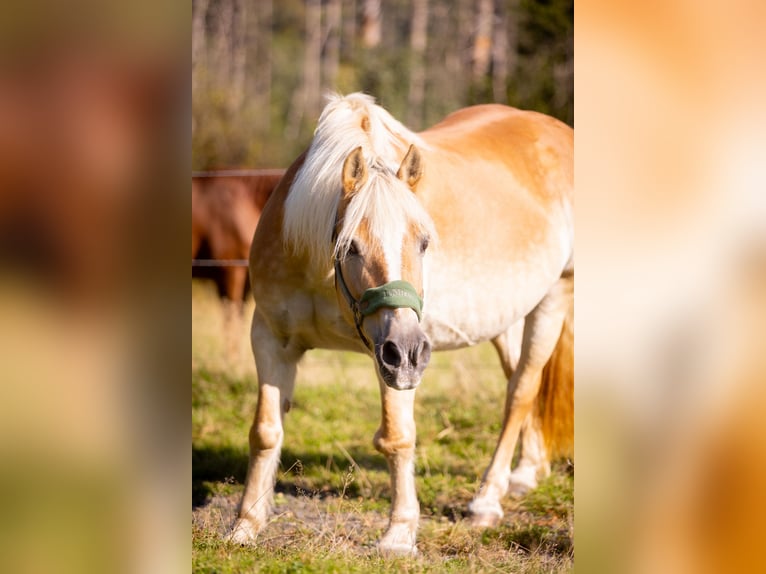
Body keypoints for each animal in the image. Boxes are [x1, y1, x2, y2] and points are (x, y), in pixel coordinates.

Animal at [230, 93, 574, 555]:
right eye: (351, 247)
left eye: (424, 242)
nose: (409, 350)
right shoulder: (270, 337)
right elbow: (265, 431)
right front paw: (246, 525)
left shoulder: (395, 362)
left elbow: (396, 436)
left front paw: (399, 533)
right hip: (505, 317)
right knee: (522, 384)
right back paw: (526, 473)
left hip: (554, 296)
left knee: (522, 389)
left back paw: (487, 498)